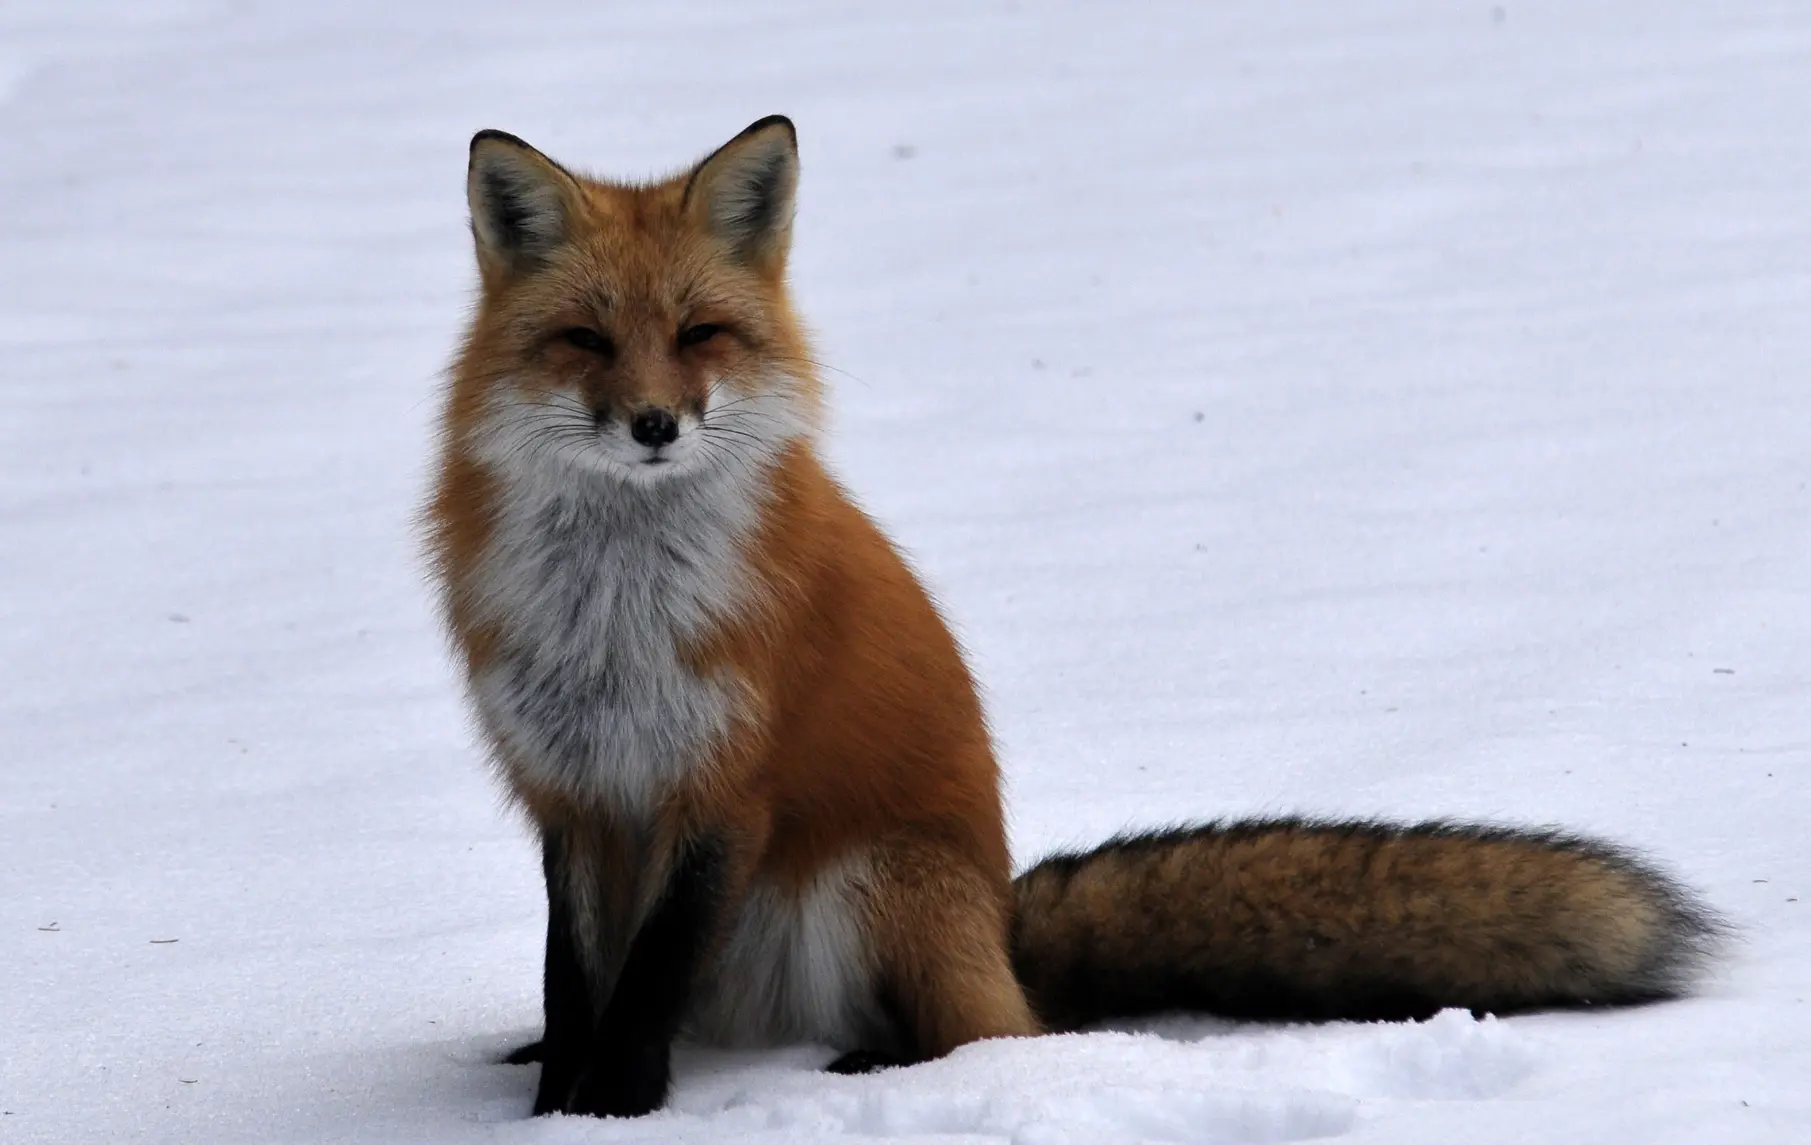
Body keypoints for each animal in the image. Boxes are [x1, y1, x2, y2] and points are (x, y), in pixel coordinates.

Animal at [425, 115, 1723, 1119]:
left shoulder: (723, 789)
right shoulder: (572, 791)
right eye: (586, 339)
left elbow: (646, 976)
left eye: (699, 334)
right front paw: (553, 1095)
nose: (654, 425)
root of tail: (1002, 924)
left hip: (871, 882)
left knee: (989, 1035)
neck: (616, 616)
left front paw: (613, 1104)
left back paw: (880, 1065)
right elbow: (572, 972)